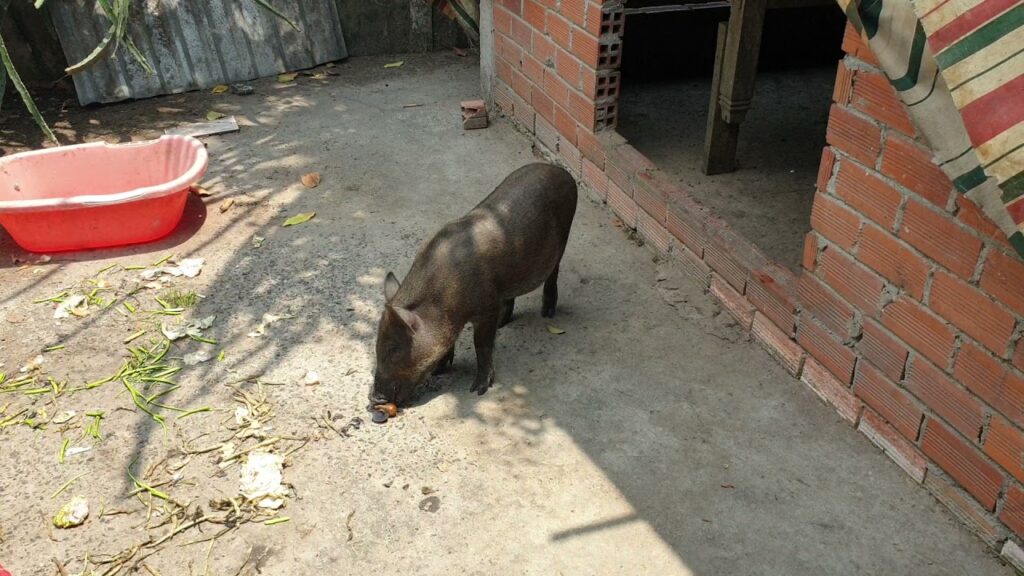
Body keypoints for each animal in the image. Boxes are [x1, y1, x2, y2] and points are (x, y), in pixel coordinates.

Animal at [368, 159, 577, 407]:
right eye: (377, 344)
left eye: (393, 348)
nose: (374, 398)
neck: (445, 298)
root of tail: (560, 171)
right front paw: (439, 370)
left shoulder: (486, 307)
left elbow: (482, 345)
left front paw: (478, 389)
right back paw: (503, 324)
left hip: (563, 238)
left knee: (554, 272)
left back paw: (547, 313)